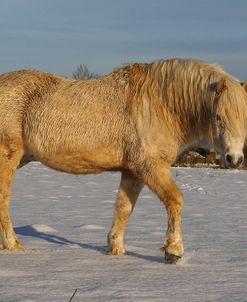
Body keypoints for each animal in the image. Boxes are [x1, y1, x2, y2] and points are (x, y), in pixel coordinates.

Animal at [0, 58, 247, 262]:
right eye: (219, 117)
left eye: (244, 118)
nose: (234, 159)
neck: (159, 105)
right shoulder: (151, 167)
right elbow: (174, 199)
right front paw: (173, 251)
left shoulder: (133, 172)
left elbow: (123, 209)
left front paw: (116, 250)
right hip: (8, 158)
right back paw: (12, 244)